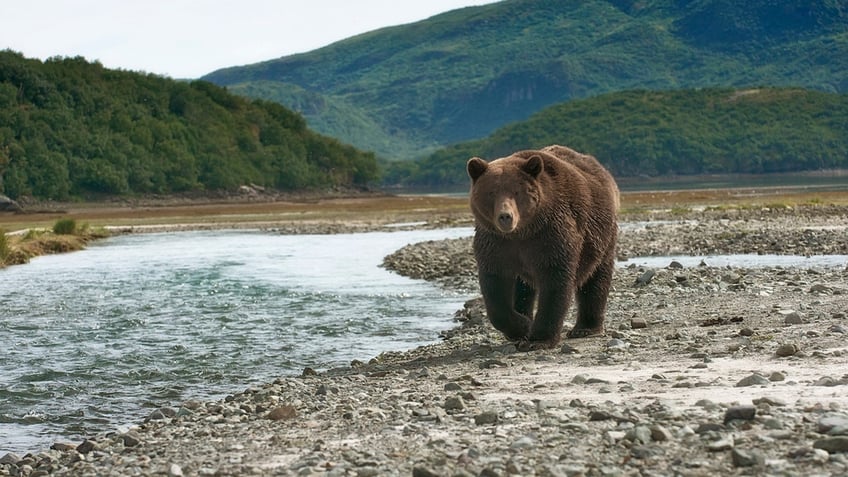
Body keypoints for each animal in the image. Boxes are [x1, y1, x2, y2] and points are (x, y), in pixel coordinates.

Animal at [468, 145, 620, 350]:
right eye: (491, 192)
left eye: (517, 192)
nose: (505, 216)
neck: (521, 232)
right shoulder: (495, 243)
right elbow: (494, 286)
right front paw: (522, 327)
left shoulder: (549, 235)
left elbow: (555, 280)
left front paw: (539, 339)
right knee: (523, 287)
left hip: (601, 235)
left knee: (596, 276)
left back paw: (586, 328)